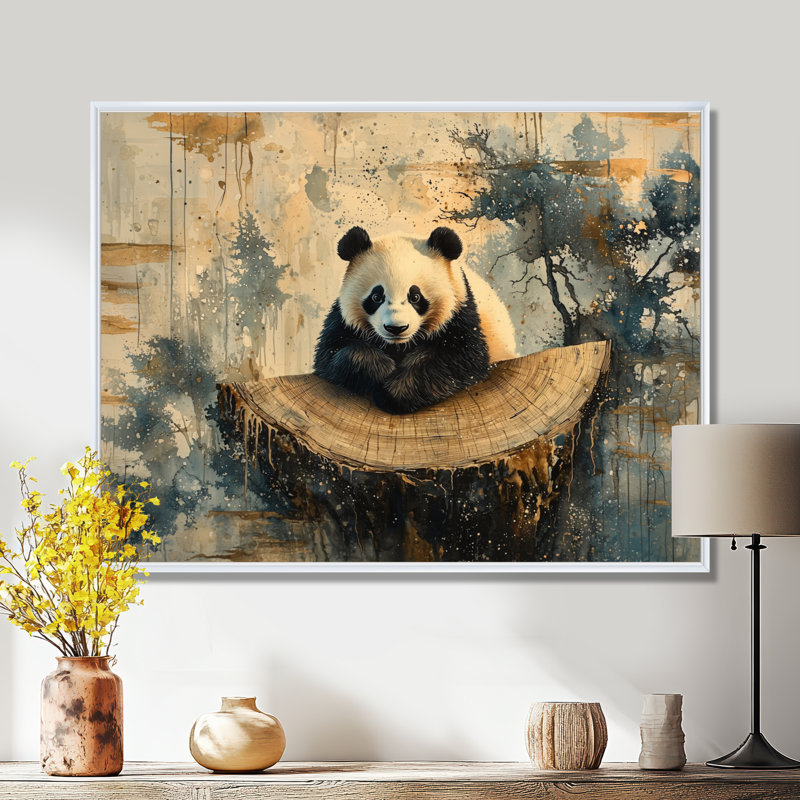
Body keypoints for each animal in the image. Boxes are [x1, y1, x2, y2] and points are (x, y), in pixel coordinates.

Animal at [313, 226, 517, 414]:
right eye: (376, 296)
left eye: (415, 297)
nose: (396, 328)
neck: (398, 346)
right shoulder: (342, 323)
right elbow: (332, 356)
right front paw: (381, 370)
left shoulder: (461, 314)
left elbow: (460, 360)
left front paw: (393, 395)